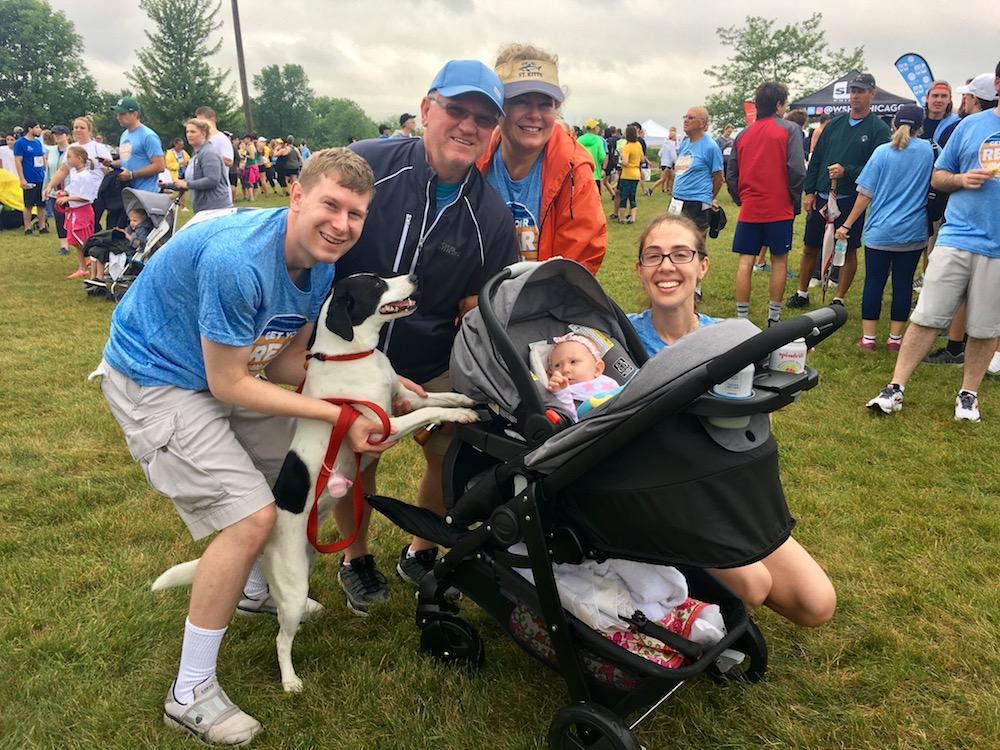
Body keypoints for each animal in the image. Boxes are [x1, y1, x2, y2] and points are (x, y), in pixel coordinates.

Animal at [153, 274, 480, 692]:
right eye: (377, 284)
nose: (416, 278)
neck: (353, 356)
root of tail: (268, 542)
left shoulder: (405, 395)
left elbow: (436, 396)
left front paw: (467, 400)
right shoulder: (382, 428)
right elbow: (428, 412)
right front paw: (463, 416)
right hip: (293, 584)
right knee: (281, 638)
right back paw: (290, 680)